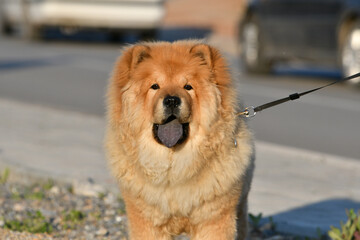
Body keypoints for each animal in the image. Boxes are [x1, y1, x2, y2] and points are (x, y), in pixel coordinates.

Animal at [105, 40, 255, 239]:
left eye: (188, 87)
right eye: (155, 86)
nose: (171, 100)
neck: (175, 167)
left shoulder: (213, 219)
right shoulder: (147, 220)